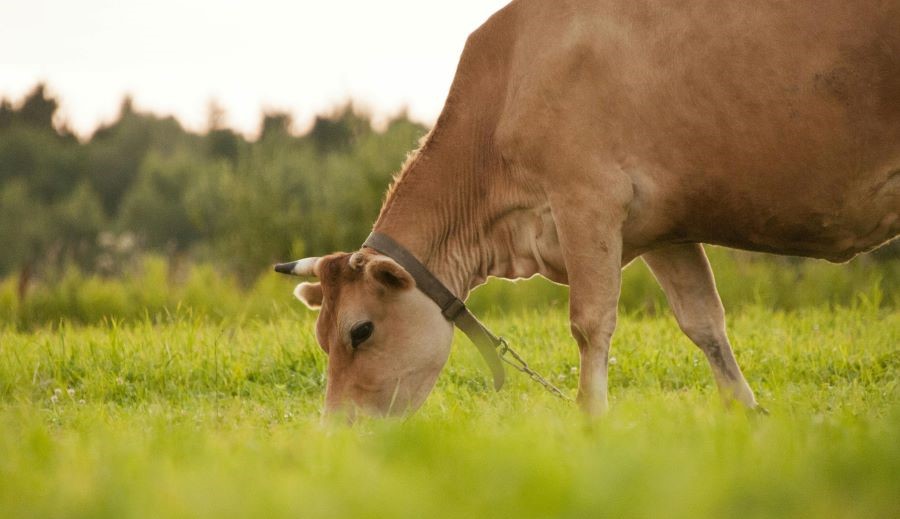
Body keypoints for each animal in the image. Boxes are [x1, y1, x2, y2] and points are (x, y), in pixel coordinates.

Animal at [278, 0, 896, 418]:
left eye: (361, 331)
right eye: (321, 338)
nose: (335, 433)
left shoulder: (587, 202)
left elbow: (590, 324)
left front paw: (591, 422)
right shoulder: (666, 232)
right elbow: (705, 324)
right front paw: (748, 417)